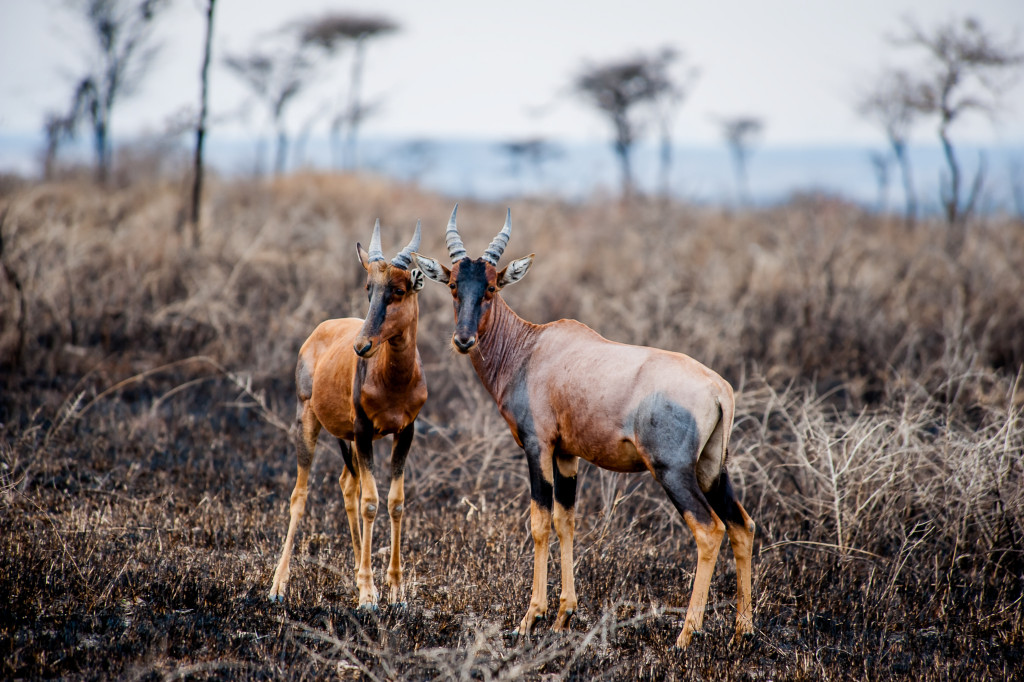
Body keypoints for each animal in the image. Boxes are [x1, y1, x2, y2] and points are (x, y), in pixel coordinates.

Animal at [268, 218, 428, 606]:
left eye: (399, 289)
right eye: (369, 288)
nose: (362, 346)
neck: (394, 377)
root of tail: (318, 332)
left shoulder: (405, 432)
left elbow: (395, 501)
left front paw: (395, 590)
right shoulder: (365, 431)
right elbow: (371, 502)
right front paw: (369, 594)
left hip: (348, 439)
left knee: (347, 485)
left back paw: (355, 572)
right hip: (310, 422)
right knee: (301, 495)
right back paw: (278, 586)